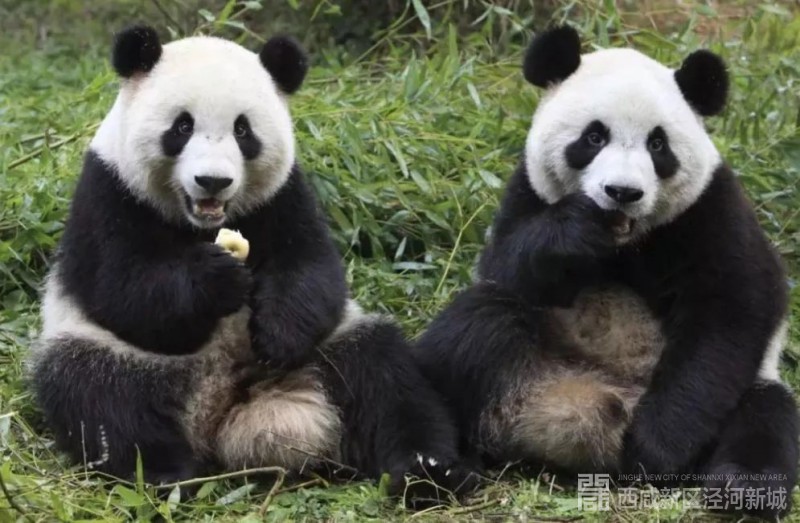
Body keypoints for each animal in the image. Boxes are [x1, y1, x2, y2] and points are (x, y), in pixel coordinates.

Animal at [28, 25, 472, 506]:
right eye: (182, 126)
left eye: (243, 130)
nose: (213, 181)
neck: (202, 223)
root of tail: (221, 409)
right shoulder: (108, 192)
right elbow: (123, 288)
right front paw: (216, 280)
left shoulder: (284, 195)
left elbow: (312, 269)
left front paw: (277, 332)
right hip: (112, 353)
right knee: (99, 399)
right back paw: (168, 476)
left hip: (333, 348)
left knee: (384, 380)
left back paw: (428, 471)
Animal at [412, 26, 798, 518]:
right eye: (594, 137)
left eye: (658, 144)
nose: (622, 192)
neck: (626, 239)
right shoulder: (527, 192)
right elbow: (507, 265)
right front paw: (575, 230)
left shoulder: (710, 211)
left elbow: (730, 314)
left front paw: (654, 450)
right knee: (473, 330)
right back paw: (439, 470)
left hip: (750, 390)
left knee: (765, 416)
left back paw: (741, 488)